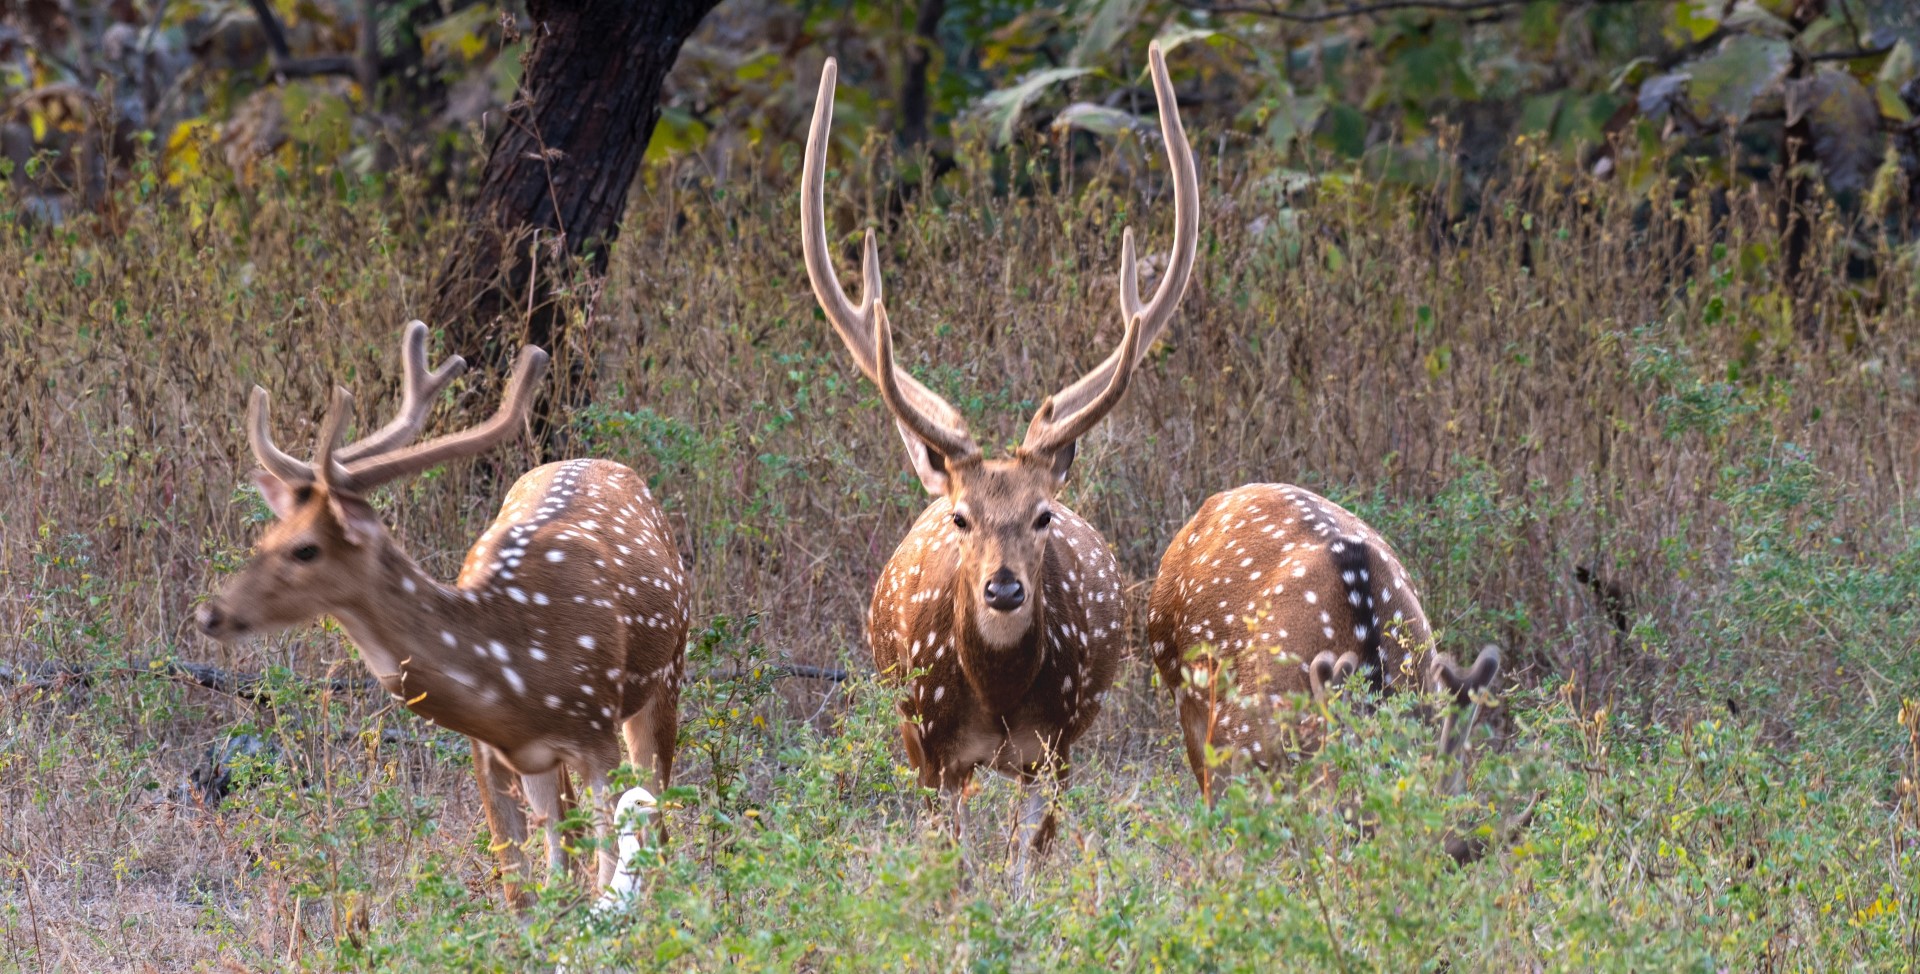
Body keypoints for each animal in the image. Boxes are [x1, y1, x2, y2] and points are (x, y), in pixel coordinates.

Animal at [195, 321, 689, 900]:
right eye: (266, 538)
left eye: (305, 549)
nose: (210, 615)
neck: (519, 674)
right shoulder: (489, 750)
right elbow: (522, 891)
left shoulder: (596, 730)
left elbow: (607, 870)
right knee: (565, 846)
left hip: (667, 673)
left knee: (657, 820)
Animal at [800, 41, 1197, 877]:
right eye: (961, 517)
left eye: (1043, 515)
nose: (1005, 588)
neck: (997, 697)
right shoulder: (927, 745)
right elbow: (949, 867)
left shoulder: (1059, 745)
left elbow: (1025, 866)